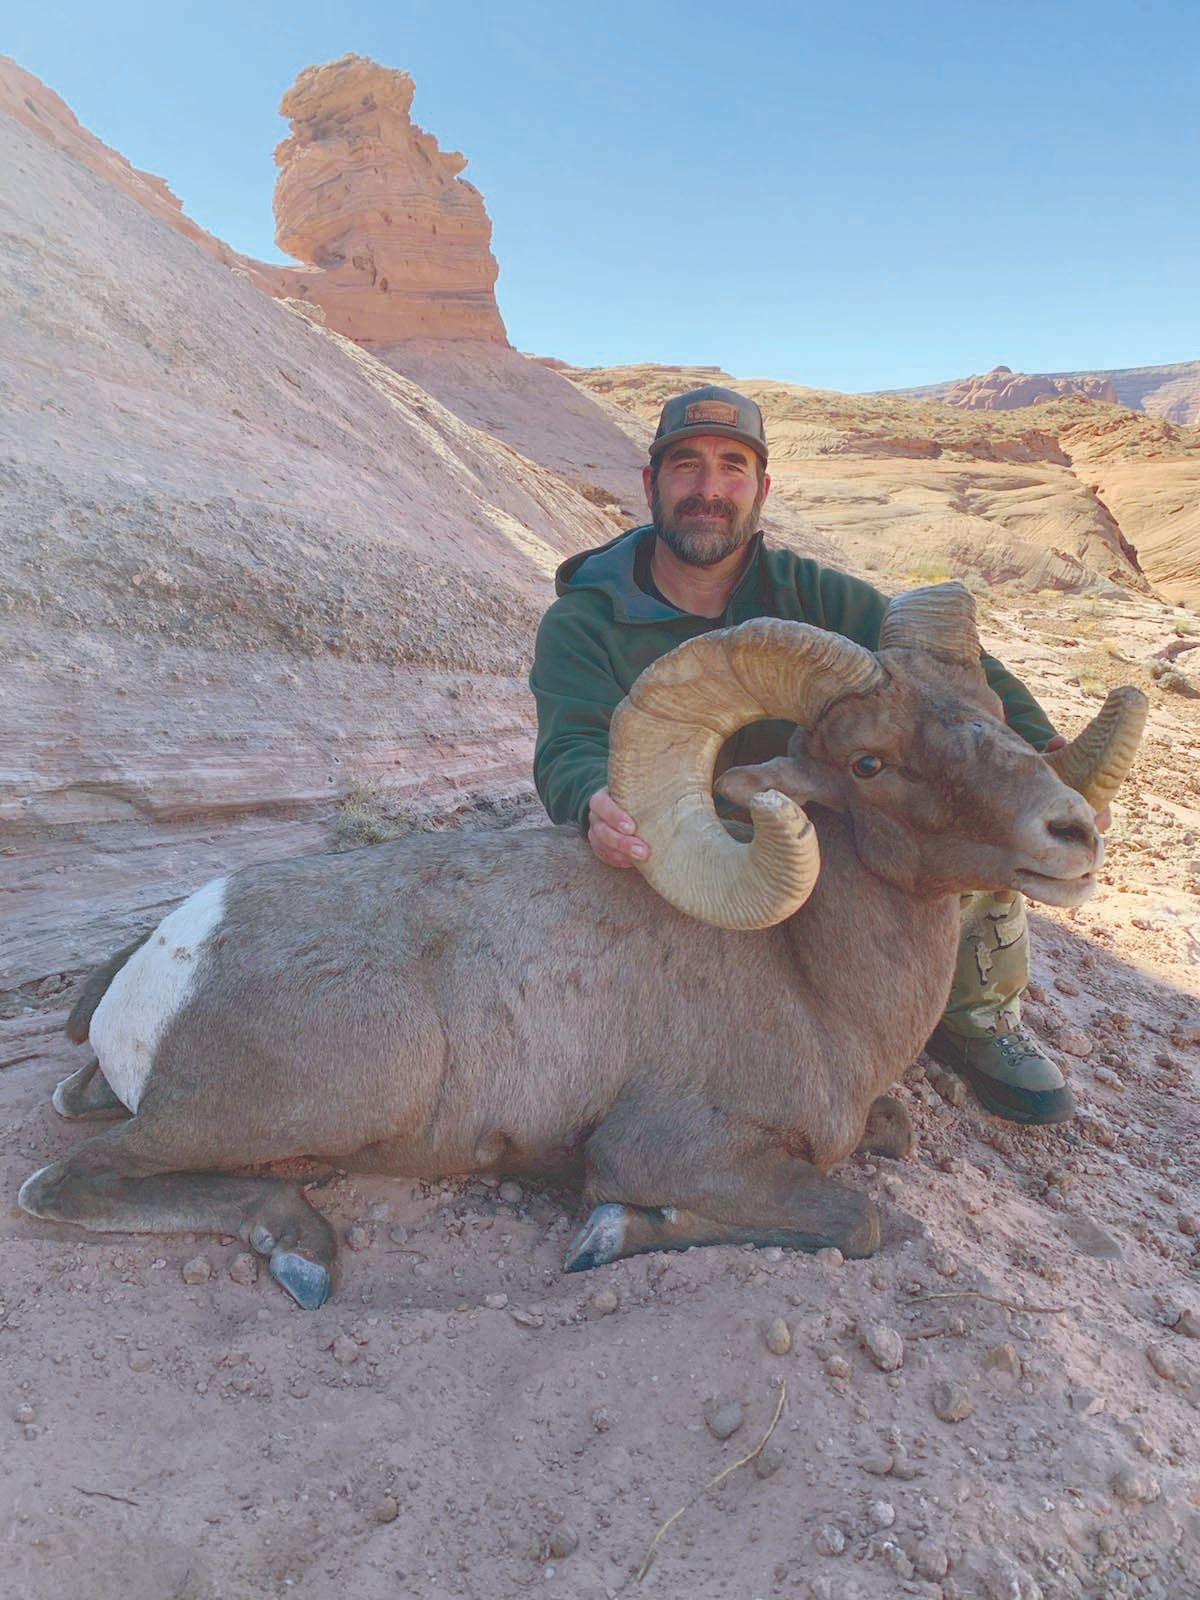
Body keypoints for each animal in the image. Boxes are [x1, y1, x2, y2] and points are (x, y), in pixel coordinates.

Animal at [19, 584, 1145, 1308]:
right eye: (870, 760)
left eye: (994, 714)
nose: (1071, 836)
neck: (808, 979)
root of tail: (168, 955)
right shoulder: (663, 1148)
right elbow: (852, 1219)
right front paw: (611, 1234)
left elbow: (895, 1139)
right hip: (312, 1100)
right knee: (63, 1186)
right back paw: (301, 1249)